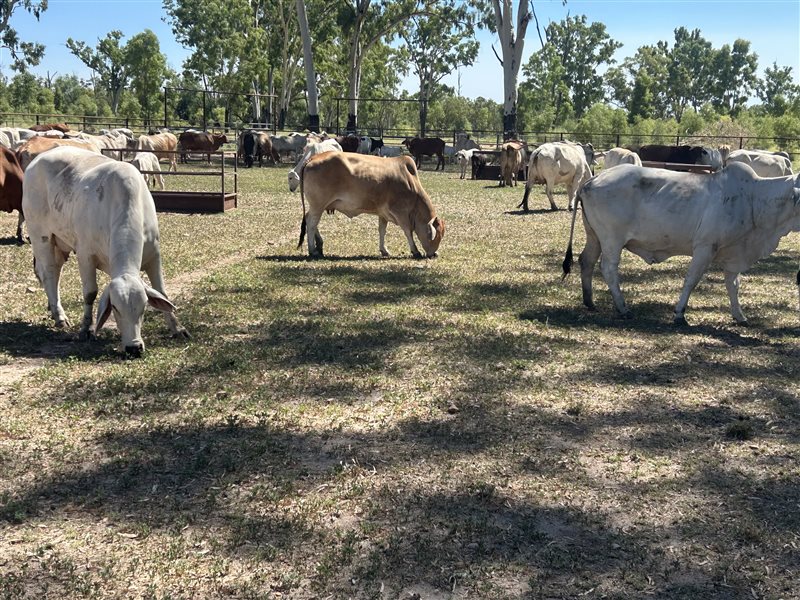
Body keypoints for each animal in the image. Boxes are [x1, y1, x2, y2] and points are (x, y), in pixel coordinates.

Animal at [296, 152, 444, 258]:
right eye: (436, 237)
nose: (434, 254)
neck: (410, 182)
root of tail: (314, 158)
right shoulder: (400, 212)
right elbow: (408, 231)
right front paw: (415, 251)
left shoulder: (383, 213)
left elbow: (382, 230)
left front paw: (384, 250)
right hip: (318, 205)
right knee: (311, 223)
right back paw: (312, 250)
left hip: (318, 206)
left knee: (310, 220)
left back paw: (319, 246)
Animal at [564, 162, 800, 326]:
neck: (753, 200)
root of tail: (592, 179)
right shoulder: (705, 247)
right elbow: (691, 280)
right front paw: (679, 313)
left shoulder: (733, 254)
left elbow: (733, 286)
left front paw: (739, 316)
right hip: (611, 239)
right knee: (608, 268)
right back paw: (623, 308)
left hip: (594, 237)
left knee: (586, 261)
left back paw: (590, 302)